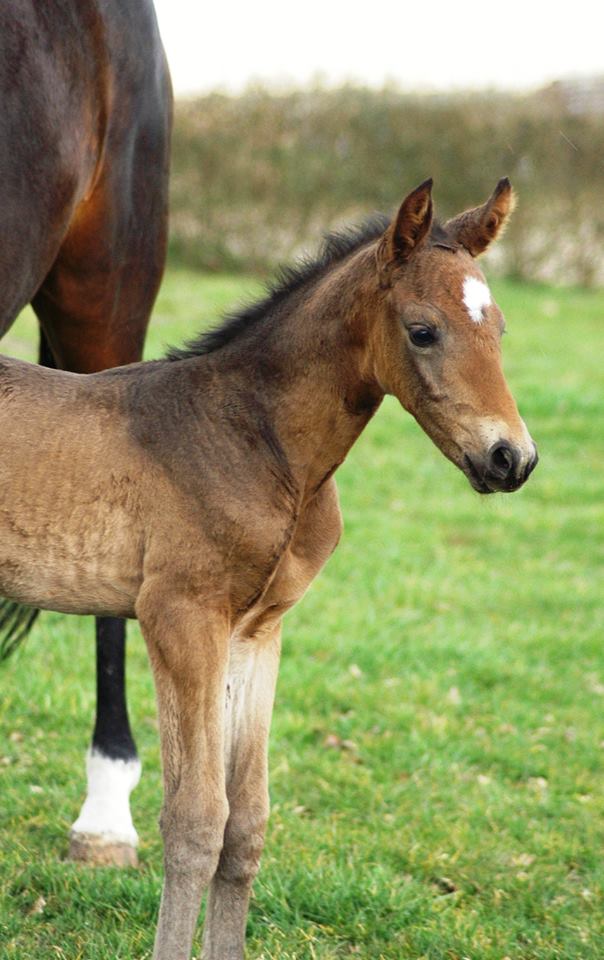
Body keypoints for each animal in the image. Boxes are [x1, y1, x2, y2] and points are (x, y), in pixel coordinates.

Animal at [0, 182, 536, 960]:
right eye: (423, 331)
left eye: (498, 327)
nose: (512, 459)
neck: (256, 442)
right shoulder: (181, 618)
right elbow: (196, 819)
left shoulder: (256, 634)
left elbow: (247, 822)